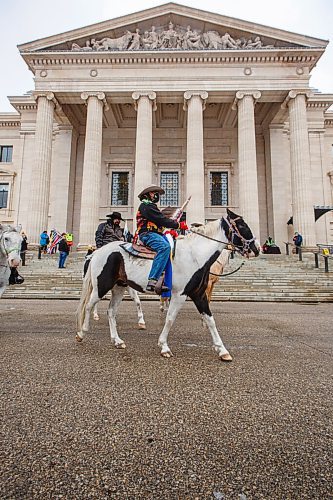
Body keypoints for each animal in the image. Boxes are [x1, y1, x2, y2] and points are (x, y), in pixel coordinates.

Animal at [76, 209, 260, 362]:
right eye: (242, 225)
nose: (257, 249)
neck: (194, 256)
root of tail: (98, 251)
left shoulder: (198, 294)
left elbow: (210, 320)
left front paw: (222, 350)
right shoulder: (179, 295)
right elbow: (170, 318)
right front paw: (164, 346)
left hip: (119, 287)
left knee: (111, 311)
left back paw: (117, 340)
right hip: (102, 285)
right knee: (89, 305)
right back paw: (81, 332)